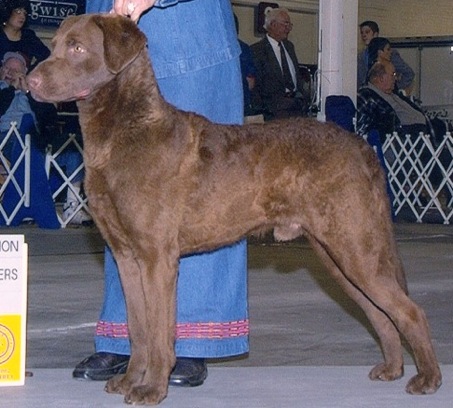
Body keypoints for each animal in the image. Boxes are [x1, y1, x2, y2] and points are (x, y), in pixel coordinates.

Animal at [26, 14, 440, 406]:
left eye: (77, 48)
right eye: (55, 44)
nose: (29, 81)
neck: (124, 133)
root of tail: (363, 148)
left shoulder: (157, 256)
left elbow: (159, 332)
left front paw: (152, 389)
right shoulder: (126, 255)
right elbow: (138, 328)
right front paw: (130, 380)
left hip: (355, 246)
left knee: (410, 311)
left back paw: (427, 379)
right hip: (338, 254)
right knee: (380, 313)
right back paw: (391, 369)